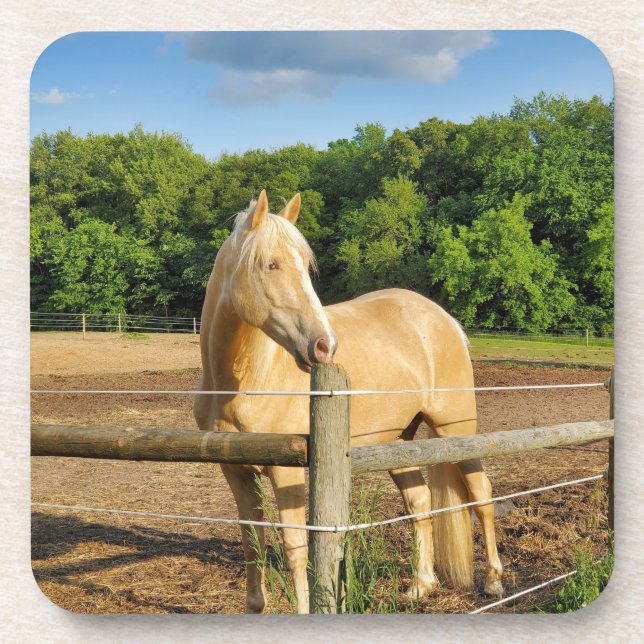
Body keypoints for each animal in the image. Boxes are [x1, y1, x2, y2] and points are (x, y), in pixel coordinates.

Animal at [194, 190, 503, 613]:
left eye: (305, 266)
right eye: (271, 264)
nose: (324, 346)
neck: (243, 383)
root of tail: (443, 319)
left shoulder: (287, 473)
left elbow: (296, 548)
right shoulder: (235, 472)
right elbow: (252, 544)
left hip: (456, 431)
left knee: (481, 496)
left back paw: (493, 581)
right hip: (396, 441)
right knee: (420, 501)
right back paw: (420, 586)